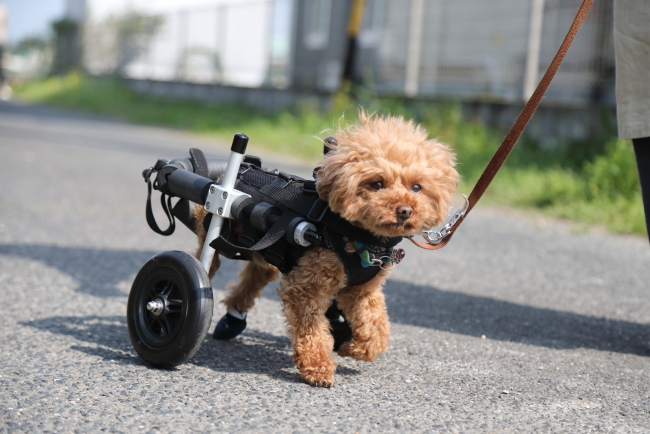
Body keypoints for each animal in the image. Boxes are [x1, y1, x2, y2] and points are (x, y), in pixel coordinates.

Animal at [191, 111, 456, 386]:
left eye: (417, 187)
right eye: (377, 184)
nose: (405, 210)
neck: (358, 237)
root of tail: (239, 170)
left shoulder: (362, 290)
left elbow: (377, 330)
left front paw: (353, 347)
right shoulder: (307, 288)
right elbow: (313, 331)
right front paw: (318, 367)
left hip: (267, 252)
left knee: (254, 277)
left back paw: (233, 316)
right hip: (215, 232)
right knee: (207, 261)